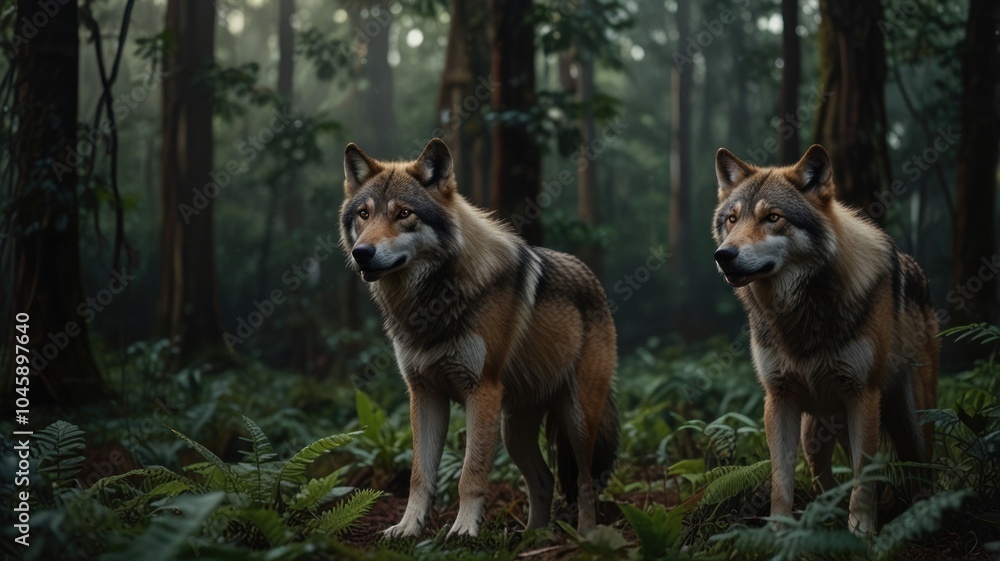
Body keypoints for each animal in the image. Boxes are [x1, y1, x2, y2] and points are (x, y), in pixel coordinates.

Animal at [339, 138, 619, 537]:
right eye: (364, 214)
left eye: (404, 213)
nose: (362, 253)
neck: (431, 301)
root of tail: (592, 279)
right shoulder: (424, 394)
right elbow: (419, 476)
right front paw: (408, 528)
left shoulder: (481, 391)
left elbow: (470, 475)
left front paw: (463, 530)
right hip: (514, 431)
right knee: (545, 480)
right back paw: (532, 536)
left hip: (576, 420)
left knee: (584, 481)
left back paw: (585, 536)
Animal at [711, 145, 939, 534]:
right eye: (732, 219)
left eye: (772, 217)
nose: (723, 255)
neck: (798, 314)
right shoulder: (778, 397)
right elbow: (781, 481)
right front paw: (778, 533)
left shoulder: (863, 394)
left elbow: (863, 480)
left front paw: (862, 532)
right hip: (814, 433)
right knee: (826, 480)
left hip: (911, 418)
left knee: (923, 468)